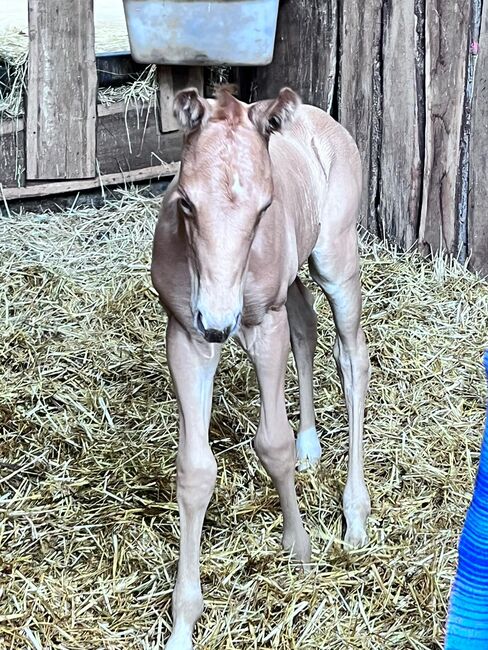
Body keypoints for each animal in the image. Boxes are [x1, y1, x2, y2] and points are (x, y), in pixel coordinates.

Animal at [152, 87, 370, 648]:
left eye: (264, 207)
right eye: (186, 202)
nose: (219, 322)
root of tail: (321, 118)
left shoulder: (261, 326)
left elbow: (273, 445)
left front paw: (301, 551)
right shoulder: (185, 335)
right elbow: (194, 470)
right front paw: (183, 622)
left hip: (336, 259)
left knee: (351, 355)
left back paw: (355, 517)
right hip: (291, 280)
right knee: (306, 326)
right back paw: (312, 445)